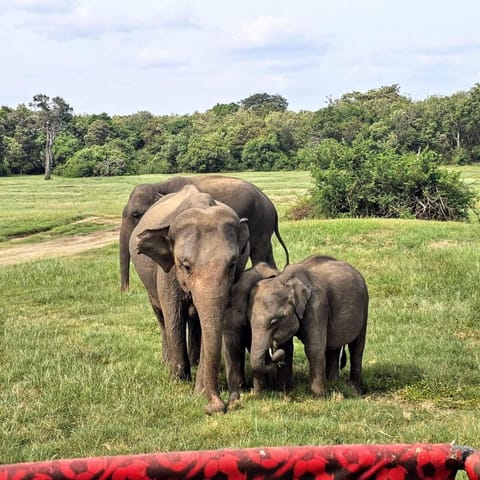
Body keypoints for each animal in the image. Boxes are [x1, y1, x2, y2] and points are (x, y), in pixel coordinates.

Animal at [120, 174, 288, 290]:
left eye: (136, 215)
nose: (125, 291)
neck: (159, 185)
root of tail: (271, 204)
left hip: (261, 219)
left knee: (258, 251)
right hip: (264, 224)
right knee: (267, 251)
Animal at [130, 186, 249, 414]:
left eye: (232, 264)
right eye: (185, 265)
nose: (216, 406)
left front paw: (199, 391)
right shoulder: (166, 272)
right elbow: (174, 315)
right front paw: (178, 380)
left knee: (194, 321)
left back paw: (193, 362)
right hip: (149, 285)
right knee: (161, 317)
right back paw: (167, 363)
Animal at [248, 255, 368, 398]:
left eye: (274, 322)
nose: (277, 360)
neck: (285, 279)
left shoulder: (317, 306)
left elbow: (313, 348)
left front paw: (318, 396)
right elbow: (287, 348)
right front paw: (285, 391)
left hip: (364, 303)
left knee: (357, 347)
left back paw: (356, 391)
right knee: (333, 347)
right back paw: (334, 384)